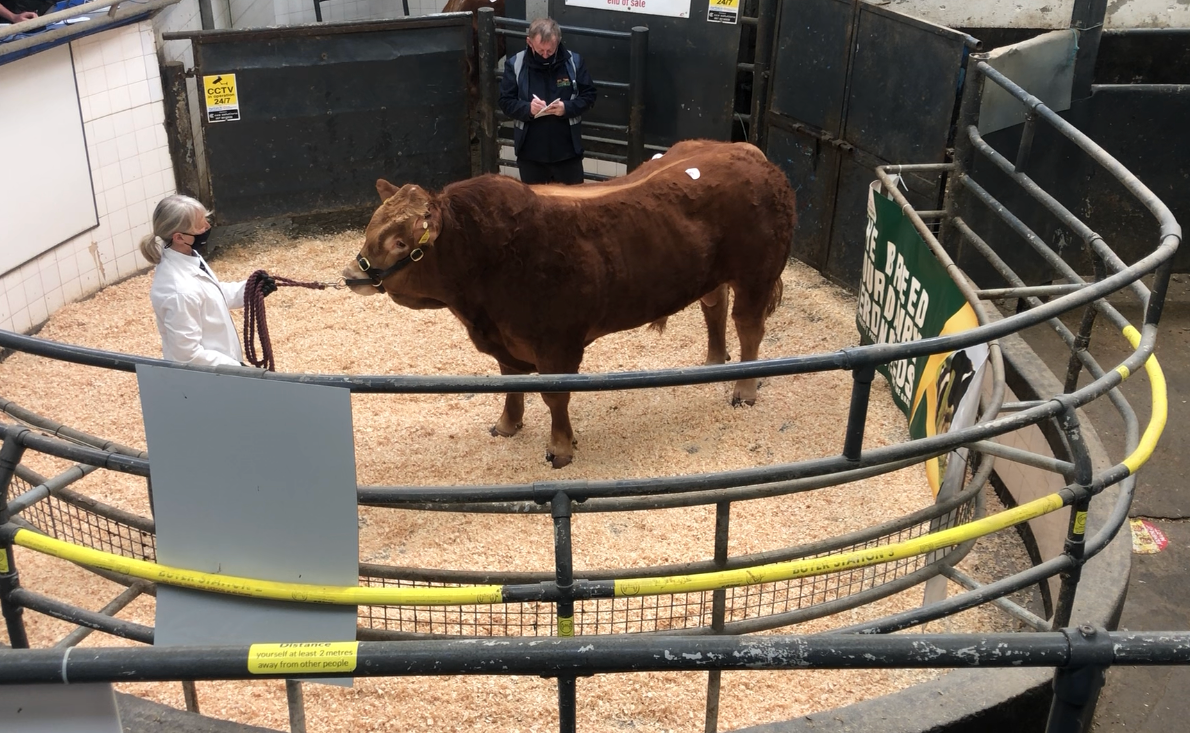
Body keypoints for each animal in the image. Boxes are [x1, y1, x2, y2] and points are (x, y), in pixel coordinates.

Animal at [341, 139, 796, 468]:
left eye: (401, 242)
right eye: (371, 227)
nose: (351, 274)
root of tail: (746, 151)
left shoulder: (557, 345)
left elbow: (555, 397)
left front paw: (559, 447)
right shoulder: (507, 340)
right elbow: (512, 384)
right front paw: (507, 424)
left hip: (756, 274)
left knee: (748, 325)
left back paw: (744, 388)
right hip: (710, 274)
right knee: (714, 307)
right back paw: (712, 364)